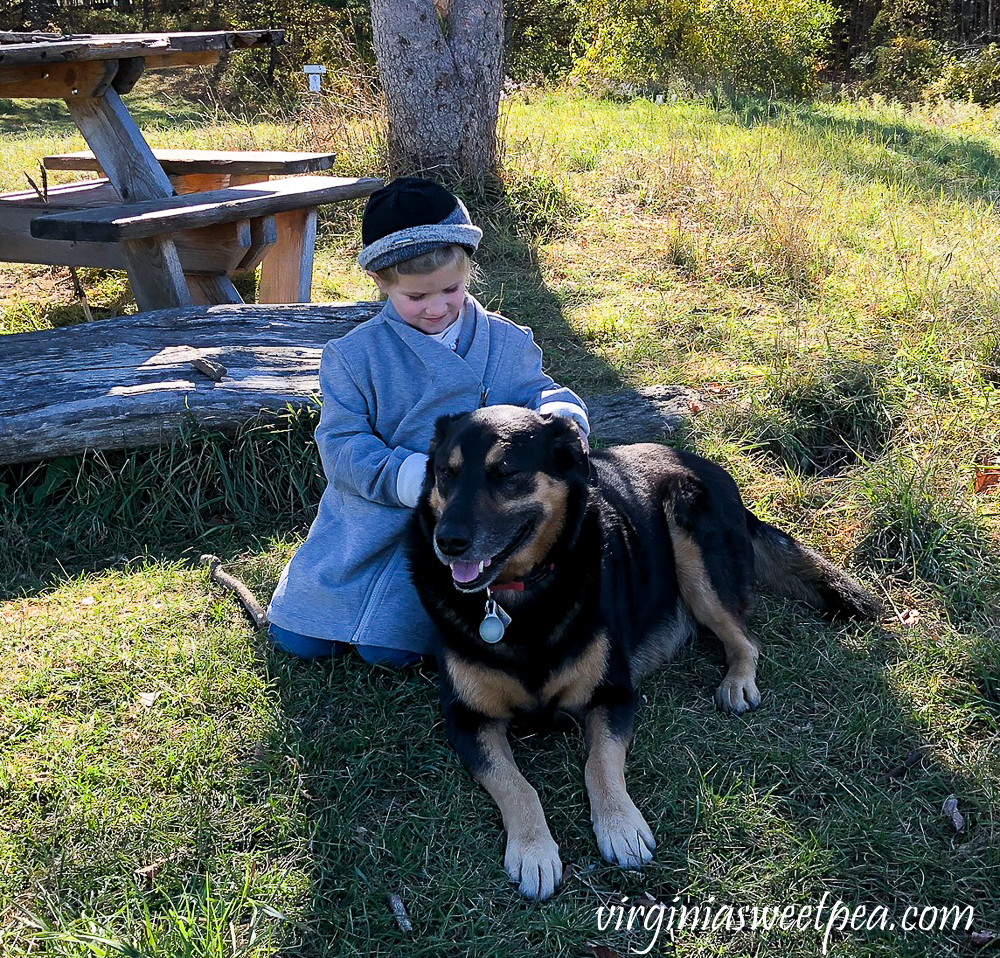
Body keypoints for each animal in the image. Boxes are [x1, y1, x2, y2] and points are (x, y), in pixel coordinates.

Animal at [406, 404, 884, 900]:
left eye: (505, 472)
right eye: (446, 473)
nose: (447, 542)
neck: (518, 598)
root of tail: (708, 466)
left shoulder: (612, 696)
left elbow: (599, 764)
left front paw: (620, 826)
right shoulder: (467, 720)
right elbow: (515, 784)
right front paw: (534, 850)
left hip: (691, 547)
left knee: (745, 639)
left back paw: (737, 681)